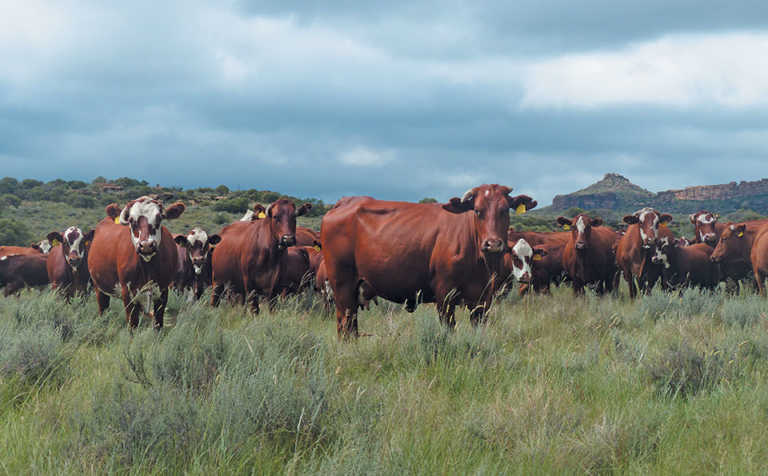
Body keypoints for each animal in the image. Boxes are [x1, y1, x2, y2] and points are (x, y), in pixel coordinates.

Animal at [86, 197, 186, 328]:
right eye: (131, 220)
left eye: (159, 218)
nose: (146, 245)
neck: (148, 267)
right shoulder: (128, 294)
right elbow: (133, 324)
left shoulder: (163, 292)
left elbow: (158, 324)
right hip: (100, 289)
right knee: (103, 311)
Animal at [318, 184, 536, 336]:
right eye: (477, 210)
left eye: (505, 210)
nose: (493, 243)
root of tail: (345, 202)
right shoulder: (445, 296)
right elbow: (449, 330)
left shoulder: (483, 299)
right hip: (342, 286)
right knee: (344, 326)